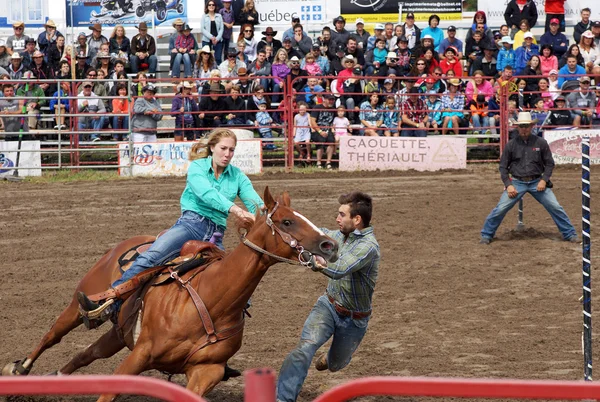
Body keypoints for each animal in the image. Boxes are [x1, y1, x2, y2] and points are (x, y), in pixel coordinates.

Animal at [2, 187, 338, 400]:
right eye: (287, 221)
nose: (330, 245)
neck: (212, 299)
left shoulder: (207, 371)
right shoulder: (141, 354)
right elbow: (108, 391)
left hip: (118, 334)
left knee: (86, 354)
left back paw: (50, 381)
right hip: (78, 303)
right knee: (53, 335)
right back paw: (19, 370)